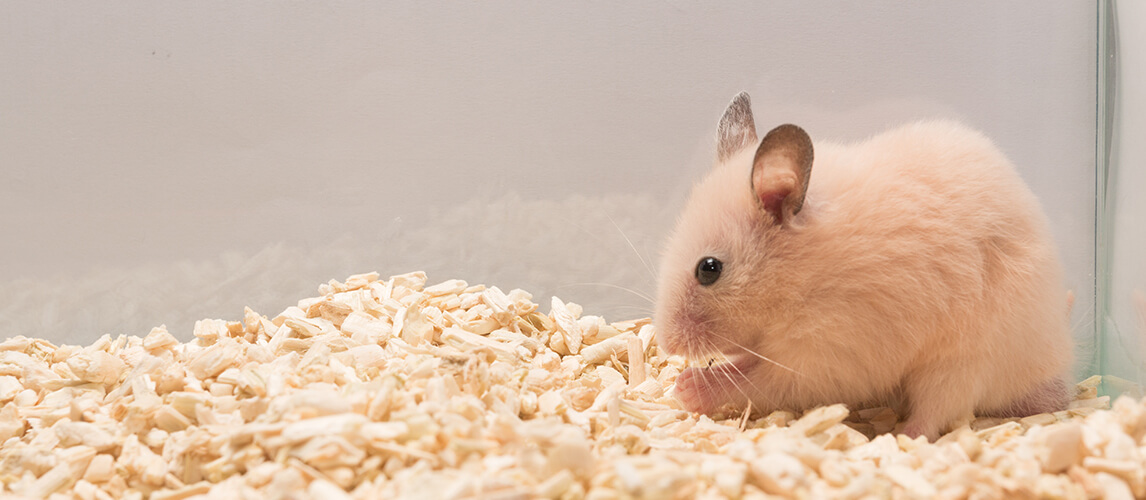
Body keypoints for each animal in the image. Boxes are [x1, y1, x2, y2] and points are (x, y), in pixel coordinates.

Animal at [660, 91, 1077, 440]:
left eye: (709, 269)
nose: (666, 345)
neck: (802, 277)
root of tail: (1057, 377)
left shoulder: (827, 357)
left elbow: (759, 382)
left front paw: (686, 387)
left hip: (964, 362)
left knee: (937, 412)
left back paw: (901, 435)